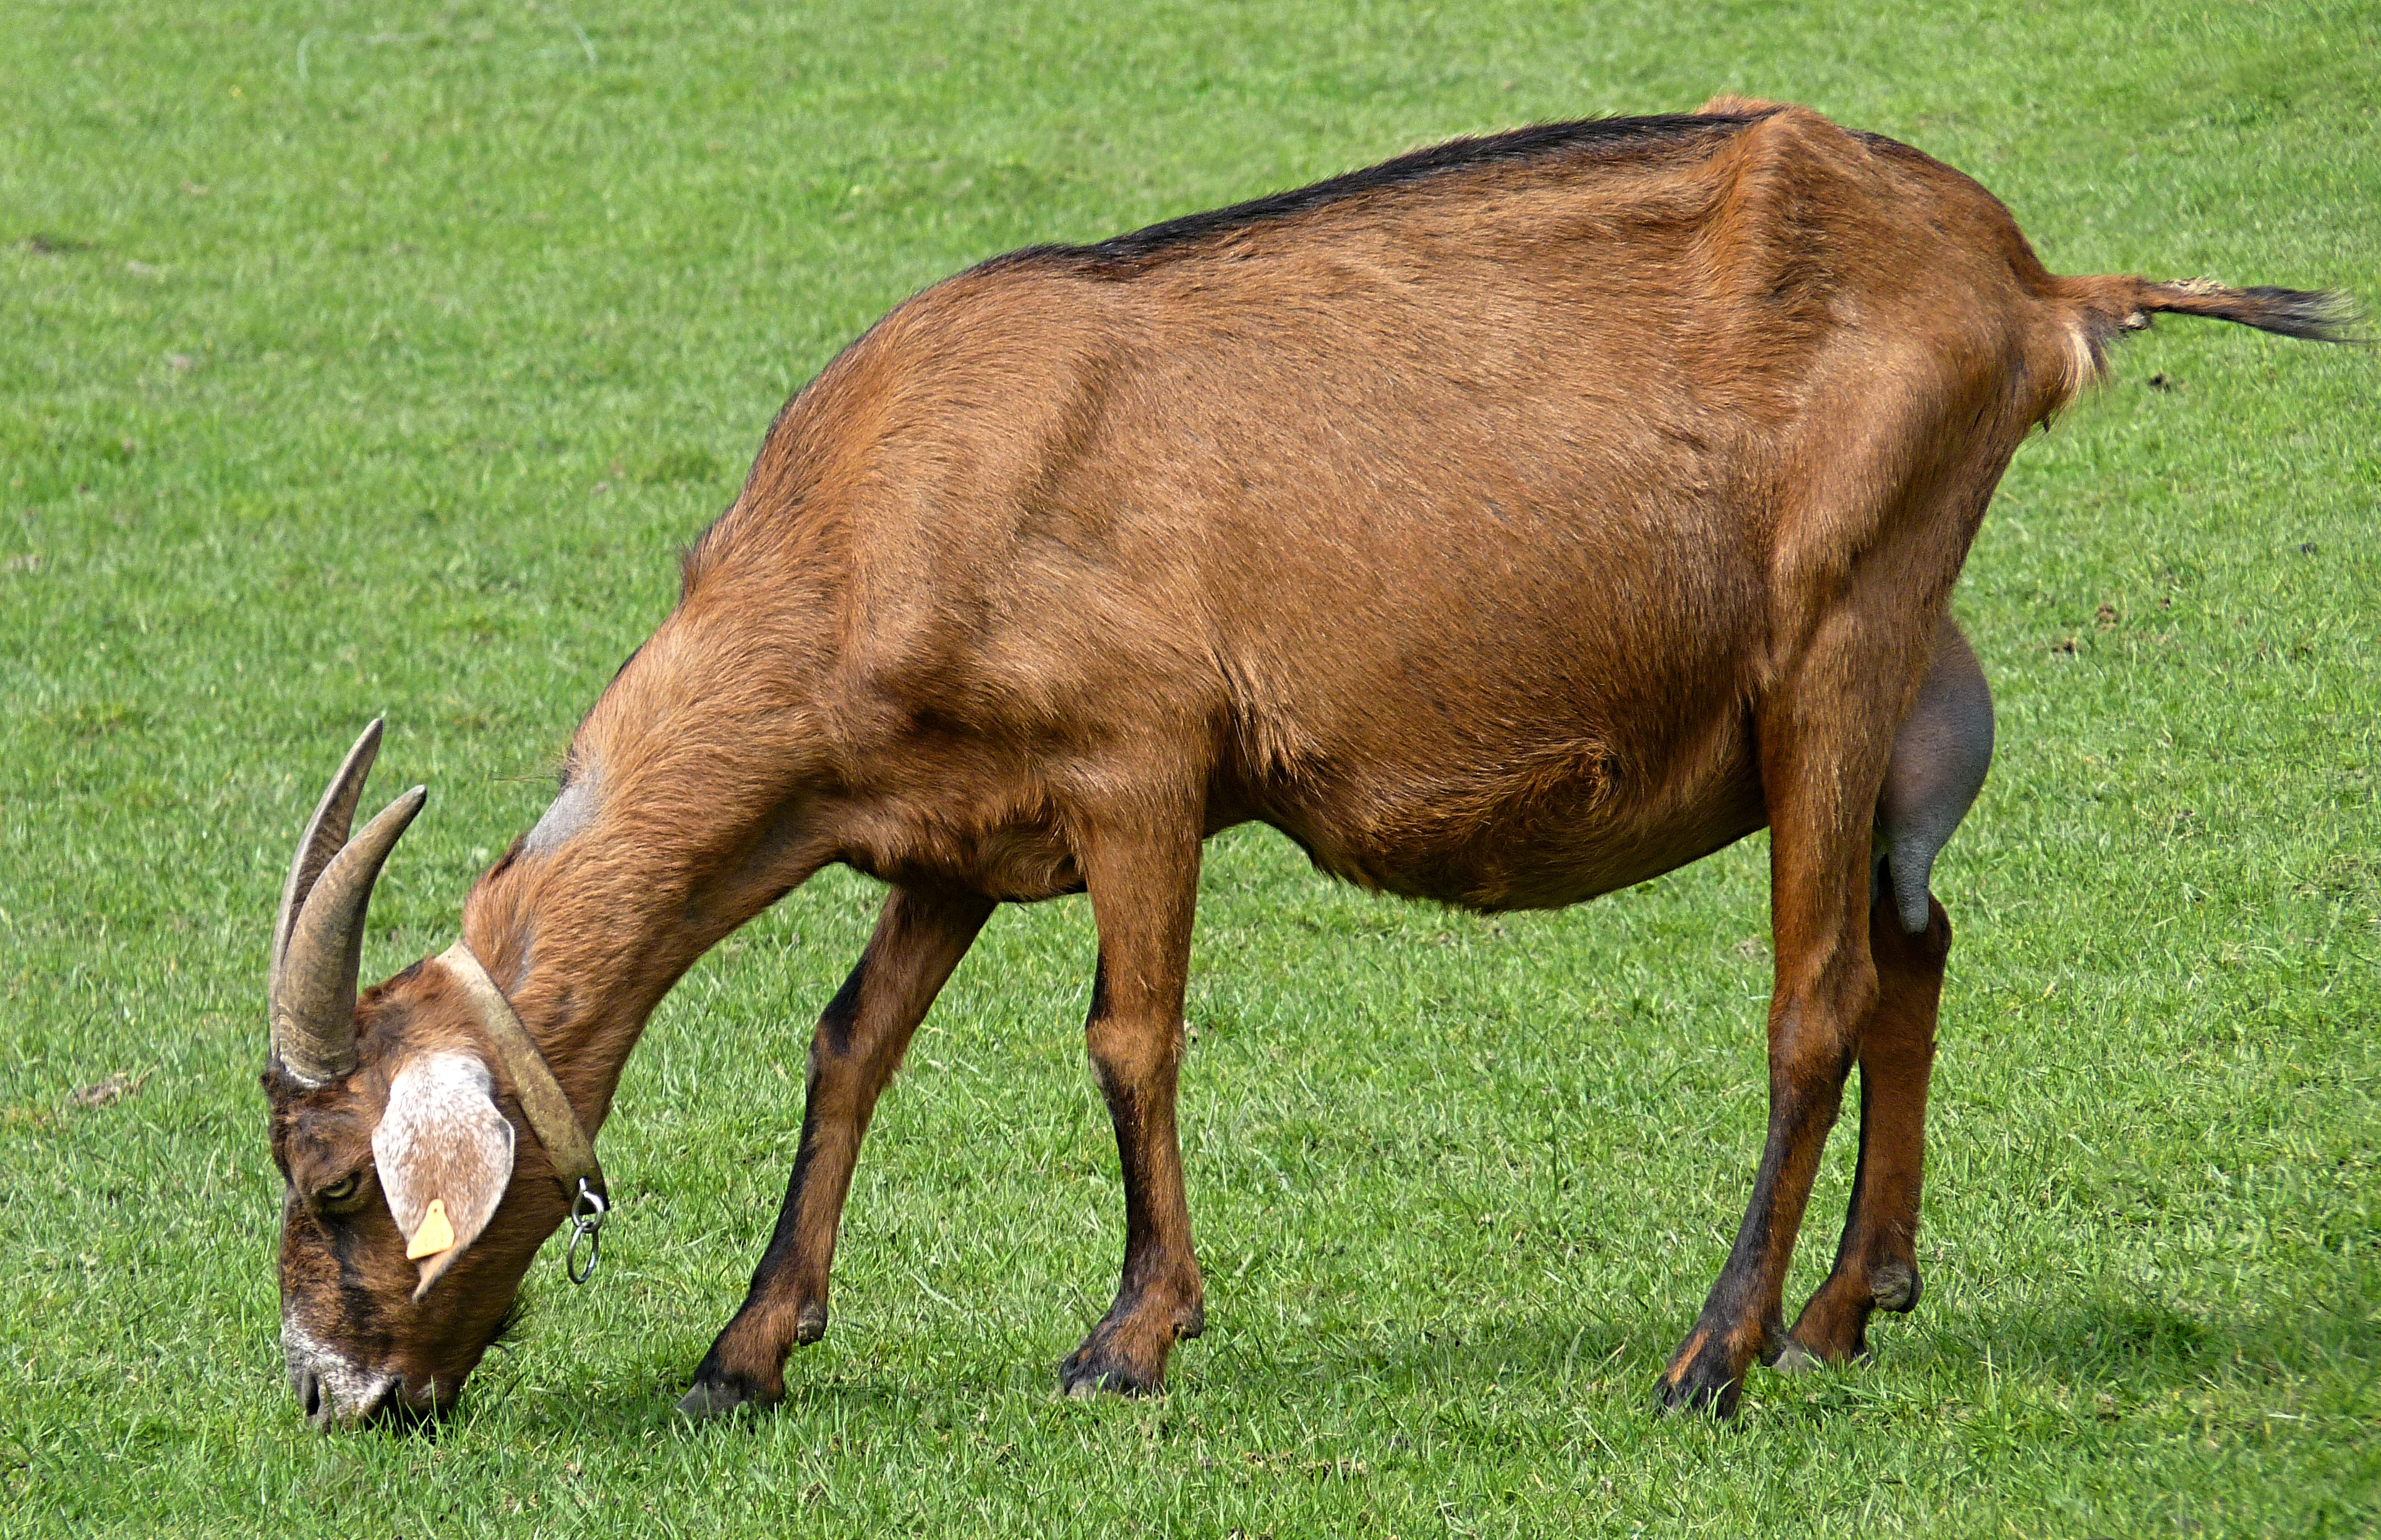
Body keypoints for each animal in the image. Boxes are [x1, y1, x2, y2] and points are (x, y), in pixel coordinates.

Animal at [260, 96, 2343, 1428]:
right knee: (1916, 942)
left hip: (1840, 627)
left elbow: (1127, 1036)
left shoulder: (1138, 765)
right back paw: (1846, 1305)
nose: (334, 1391)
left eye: (340, 1186)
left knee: (1817, 986)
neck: (883, 503)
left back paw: (1711, 1354)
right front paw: (743, 1354)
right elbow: (850, 1044)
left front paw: (1125, 1337)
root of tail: (2031, 288)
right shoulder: (946, 825)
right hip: (1902, 669)